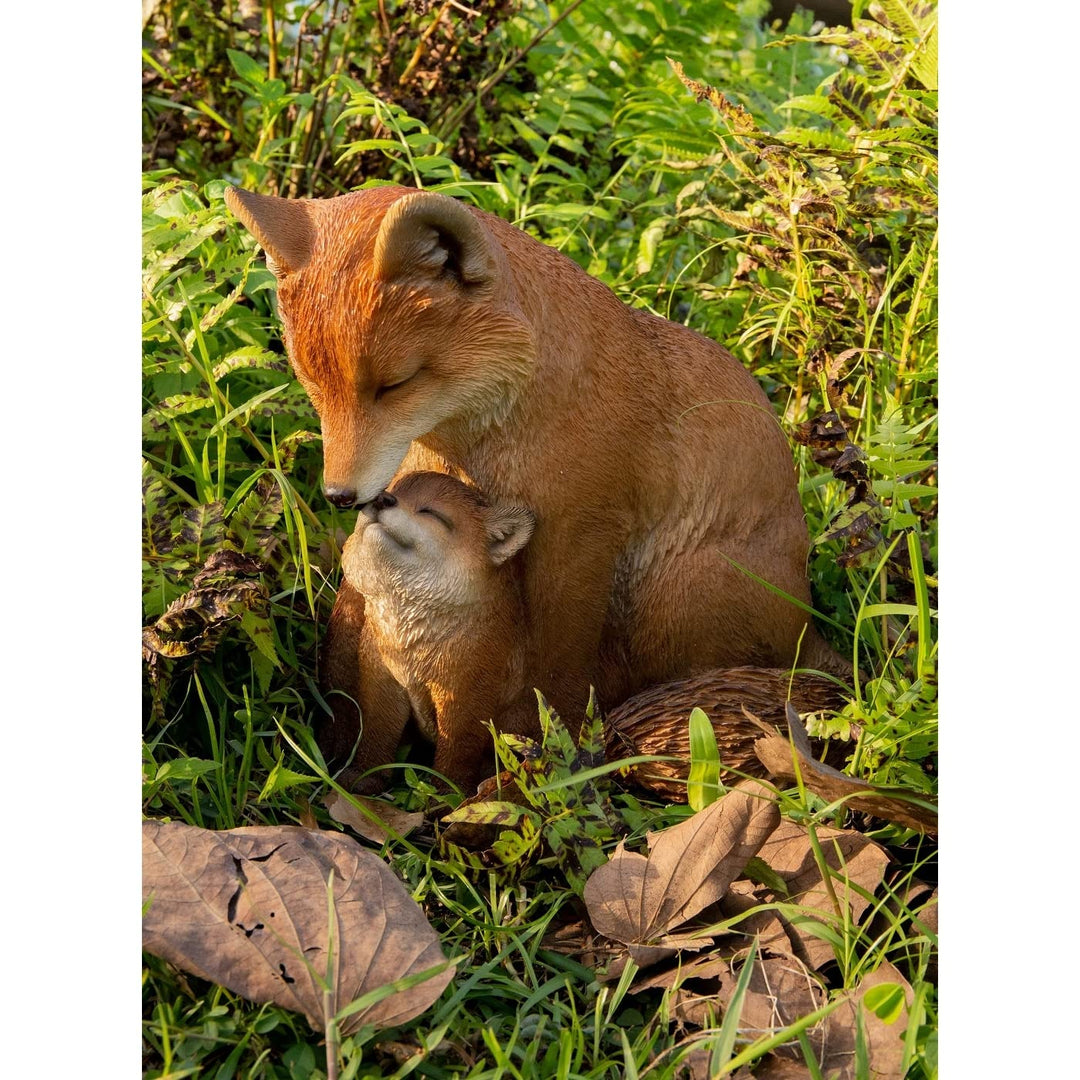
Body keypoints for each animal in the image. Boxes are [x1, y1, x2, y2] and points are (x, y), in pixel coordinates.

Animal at [339, 470, 534, 791]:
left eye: (430, 512)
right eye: (391, 490)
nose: (382, 499)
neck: (410, 655)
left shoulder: (465, 696)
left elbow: (456, 755)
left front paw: (445, 796)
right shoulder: (382, 680)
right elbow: (376, 734)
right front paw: (366, 778)